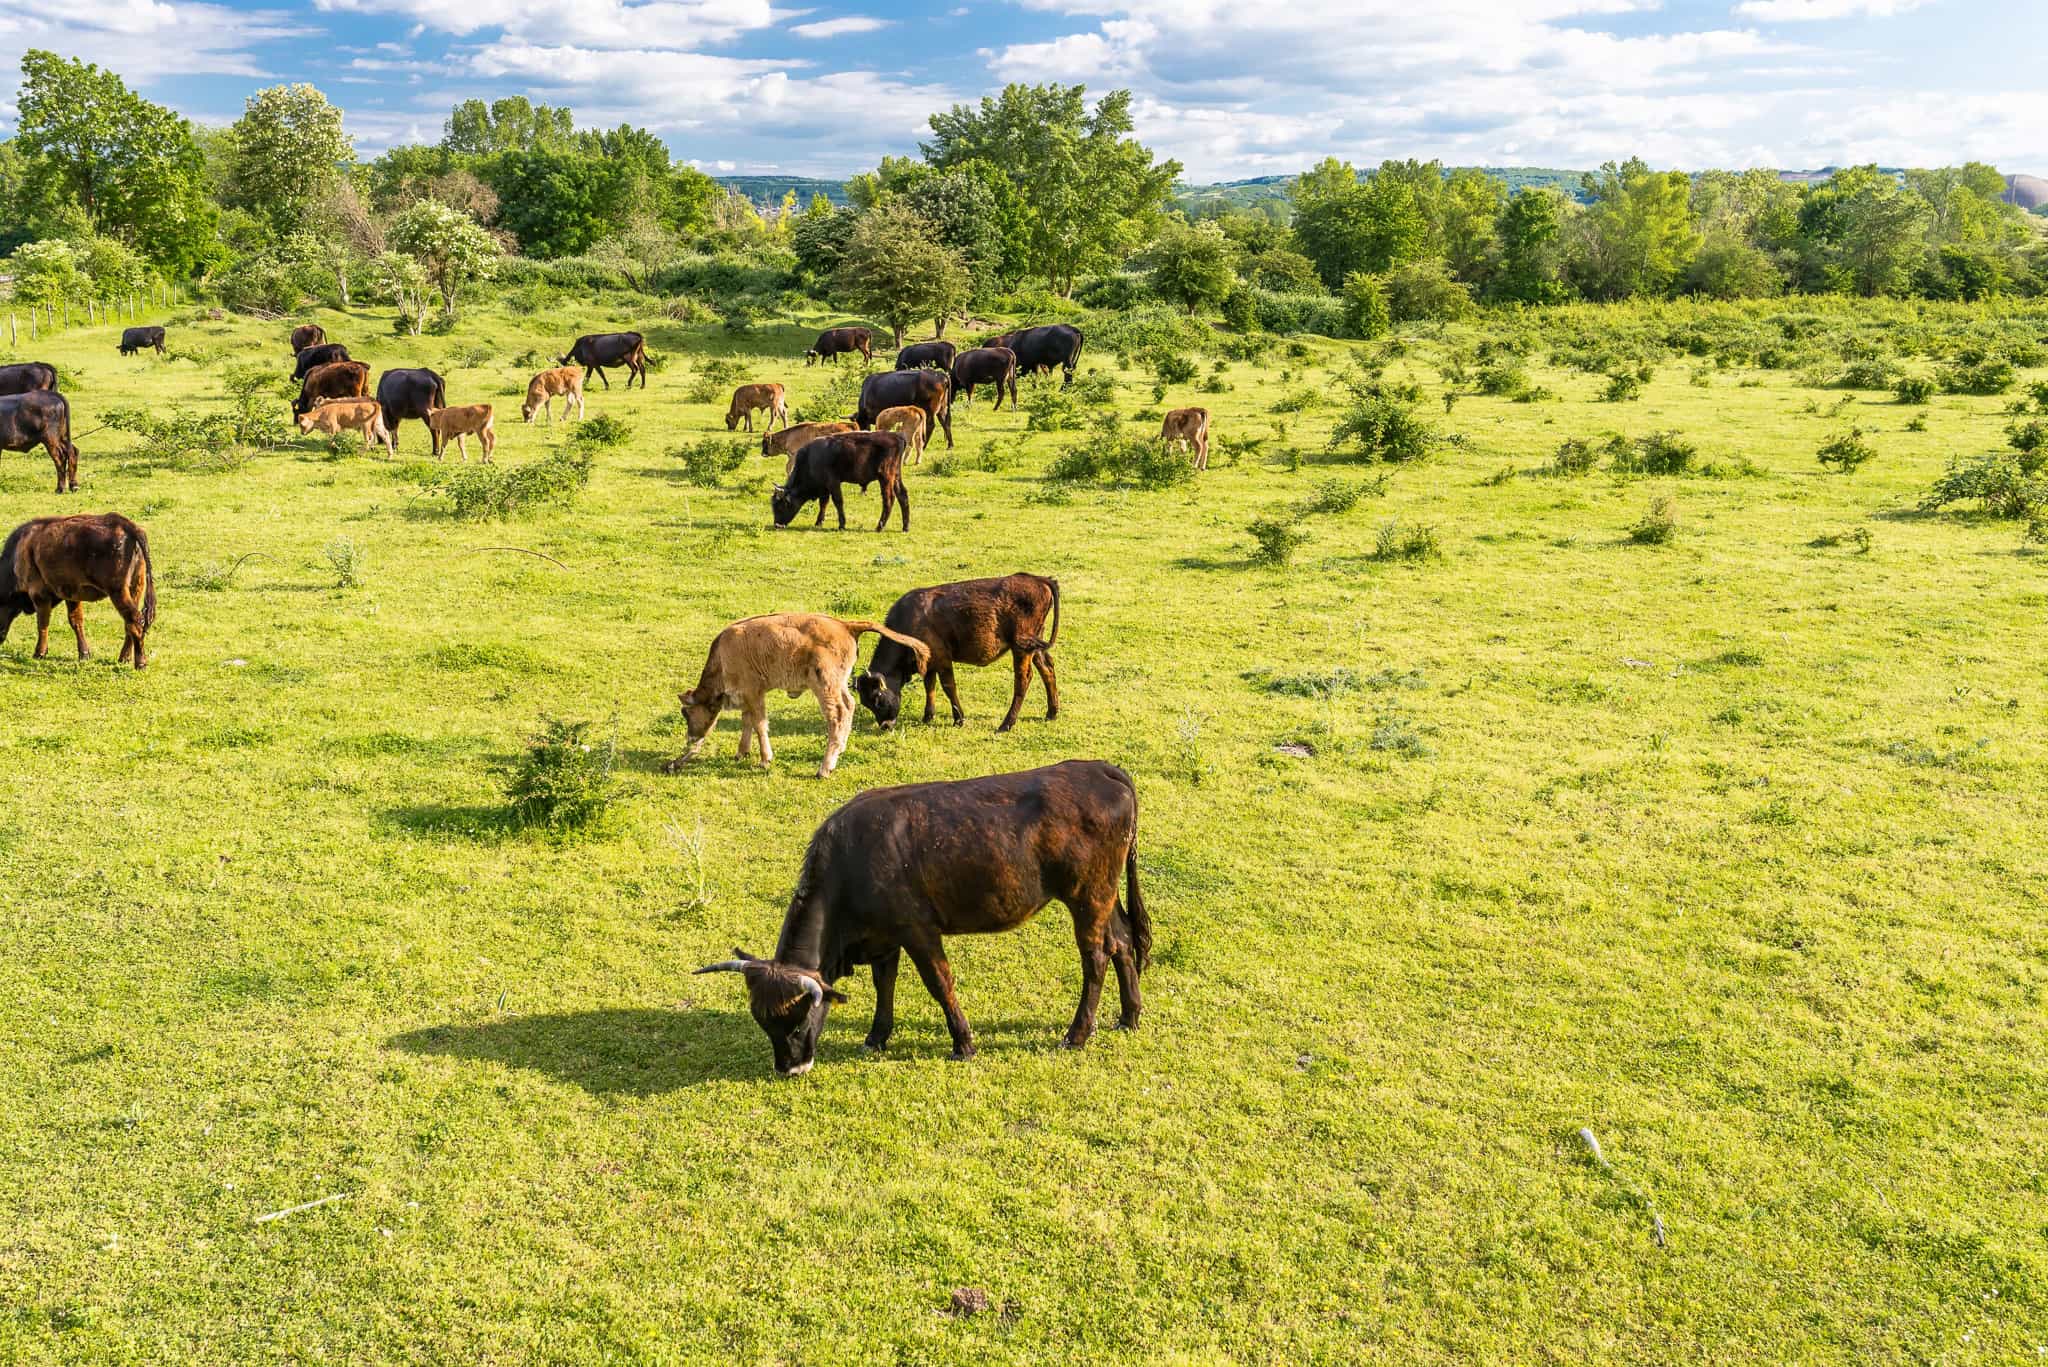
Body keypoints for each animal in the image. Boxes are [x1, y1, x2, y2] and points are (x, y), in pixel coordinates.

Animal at [0, 513, 156, 669]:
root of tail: (126, 524)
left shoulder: (39, 594)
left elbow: (42, 623)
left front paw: (39, 653)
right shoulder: (71, 594)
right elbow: (76, 621)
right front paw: (84, 654)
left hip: (118, 591)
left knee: (134, 620)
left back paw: (140, 663)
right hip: (135, 588)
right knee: (130, 623)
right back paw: (124, 658)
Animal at [664, 613, 930, 779]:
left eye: (686, 713)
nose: (690, 739)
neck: (723, 655)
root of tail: (844, 625)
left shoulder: (754, 692)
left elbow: (759, 723)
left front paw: (765, 759)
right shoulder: (748, 697)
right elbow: (747, 721)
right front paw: (741, 753)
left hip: (824, 685)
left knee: (838, 714)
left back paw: (824, 769)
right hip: (839, 684)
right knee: (850, 706)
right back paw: (840, 750)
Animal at [693, 760, 1147, 1074]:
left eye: (799, 1018)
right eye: (765, 1023)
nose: (791, 1067)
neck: (850, 859)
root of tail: (1099, 768)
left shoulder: (918, 930)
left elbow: (939, 984)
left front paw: (963, 1043)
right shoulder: (883, 937)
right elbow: (884, 983)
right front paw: (877, 1036)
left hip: (1087, 898)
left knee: (1095, 958)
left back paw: (1077, 1034)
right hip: (1103, 897)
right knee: (1123, 942)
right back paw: (1129, 1016)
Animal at [773, 432, 909, 533]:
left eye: (781, 505)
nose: (777, 525)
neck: (810, 459)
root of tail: (897, 436)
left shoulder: (833, 483)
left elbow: (838, 502)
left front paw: (841, 525)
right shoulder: (824, 487)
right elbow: (823, 503)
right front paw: (818, 522)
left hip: (885, 478)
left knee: (889, 499)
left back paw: (879, 527)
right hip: (896, 477)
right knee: (902, 496)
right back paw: (905, 527)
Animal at [855, 574, 1060, 734]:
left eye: (877, 698)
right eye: (866, 703)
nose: (885, 726)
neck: (909, 620)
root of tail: (1038, 579)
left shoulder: (942, 659)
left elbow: (948, 687)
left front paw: (959, 719)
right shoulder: (929, 662)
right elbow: (929, 685)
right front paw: (928, 716)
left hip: (1021, 648)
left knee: (1023, 680)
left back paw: (1006, 724)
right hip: (1035, 646)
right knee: (1047, 669)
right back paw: (1052, 713)